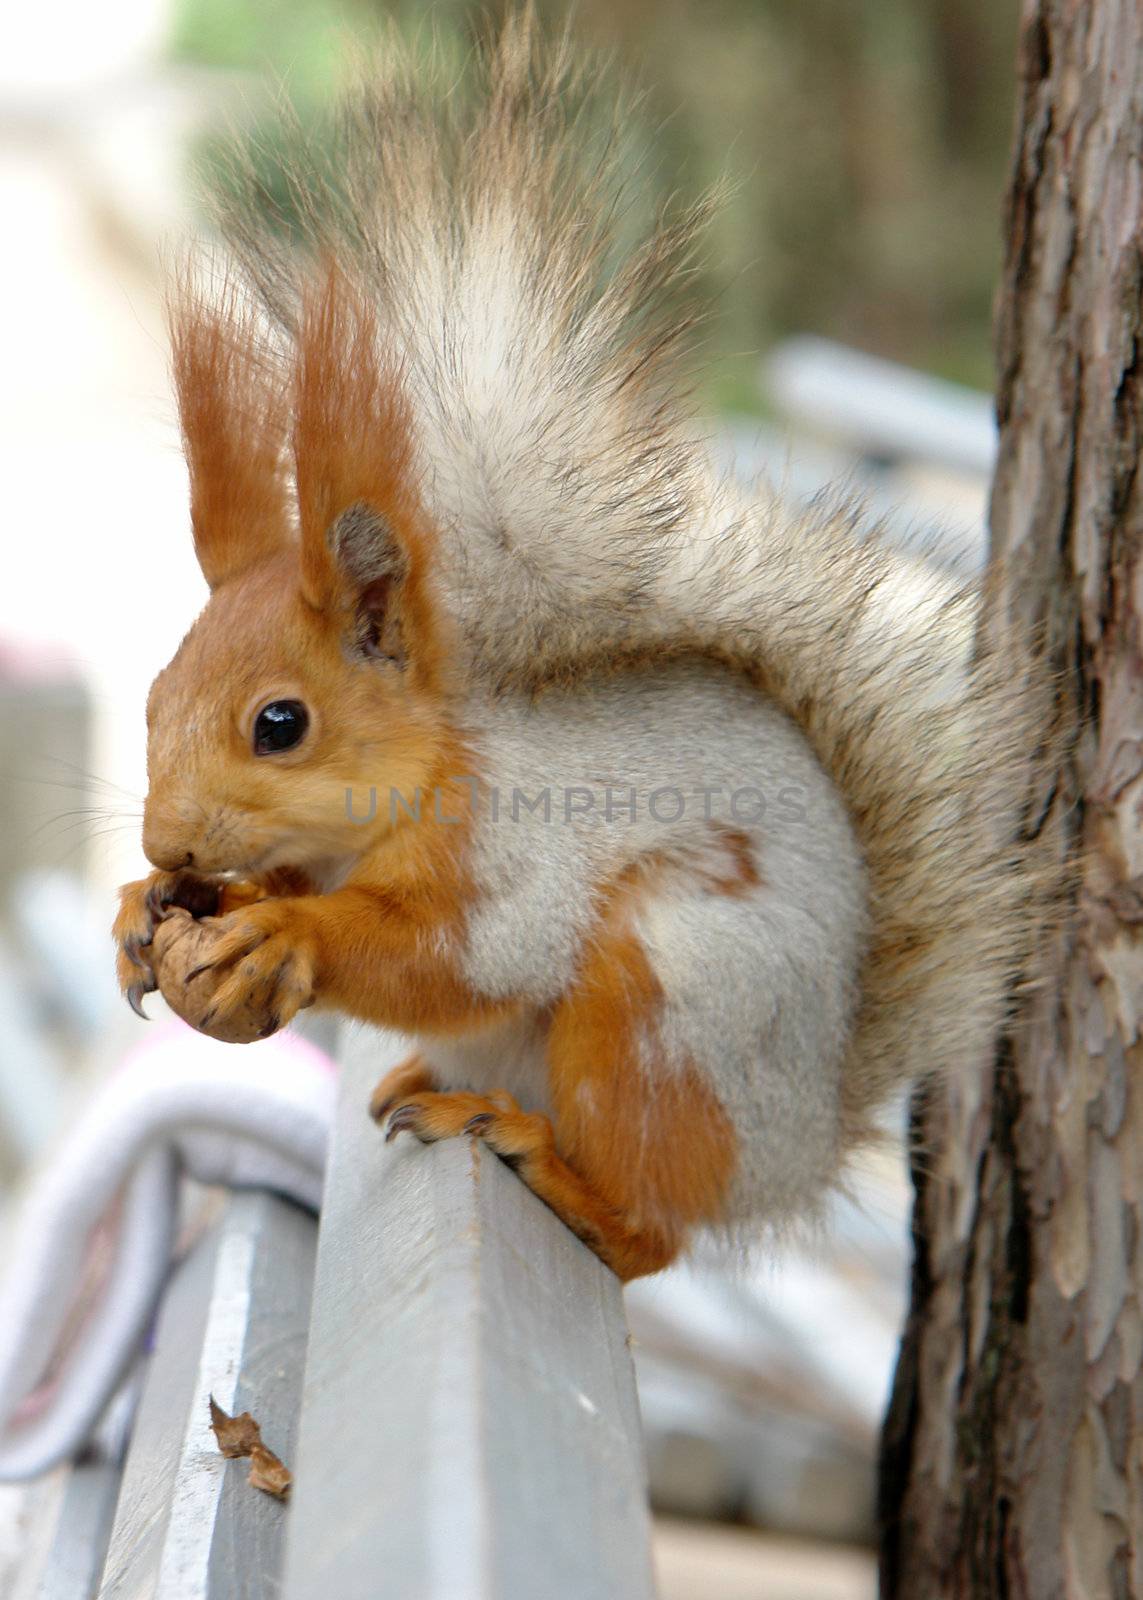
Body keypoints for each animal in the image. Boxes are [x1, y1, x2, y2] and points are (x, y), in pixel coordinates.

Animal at [111, 12, 1030, 1280]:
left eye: (280, 724)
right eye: (153, 695)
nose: (169, 839)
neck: (409, 791)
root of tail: (798, 1150)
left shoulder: (519, 859)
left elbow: (456, 959)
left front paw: (286, 932)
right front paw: (148, 907)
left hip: (665, 1013)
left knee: (652, 1234)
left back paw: (546, 1163)